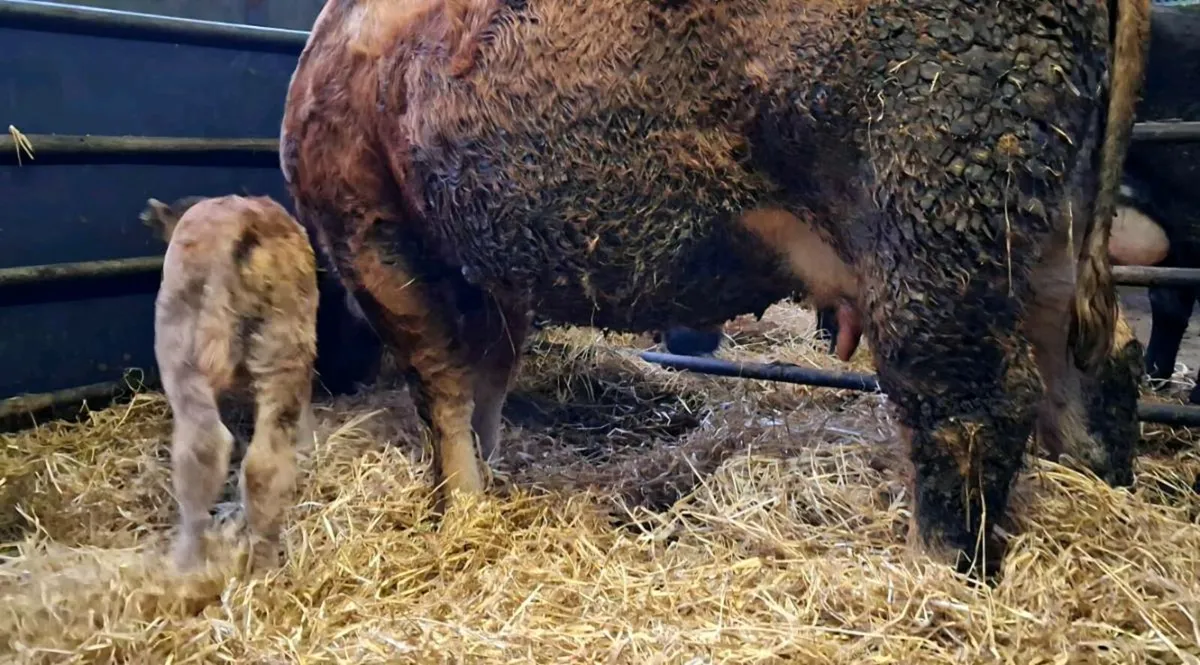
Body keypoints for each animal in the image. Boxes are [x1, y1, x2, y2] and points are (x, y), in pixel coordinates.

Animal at [143, 195, 318, 572]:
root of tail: (241, 225)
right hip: (282, 345)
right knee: (260, 461)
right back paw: (257, 561)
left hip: (182, 348)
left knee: (205, 449)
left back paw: (187, 561)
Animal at [281, 0, 1151, 574]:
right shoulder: (486, 275)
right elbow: (482, 385)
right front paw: (481, 494)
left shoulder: (373, 233)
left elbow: (445, 393)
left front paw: (458, 511)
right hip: (1043, 233)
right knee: (1095, 359)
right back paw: (1099, 489)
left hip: (934, 217)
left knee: (968, 405)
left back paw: (934, 572)